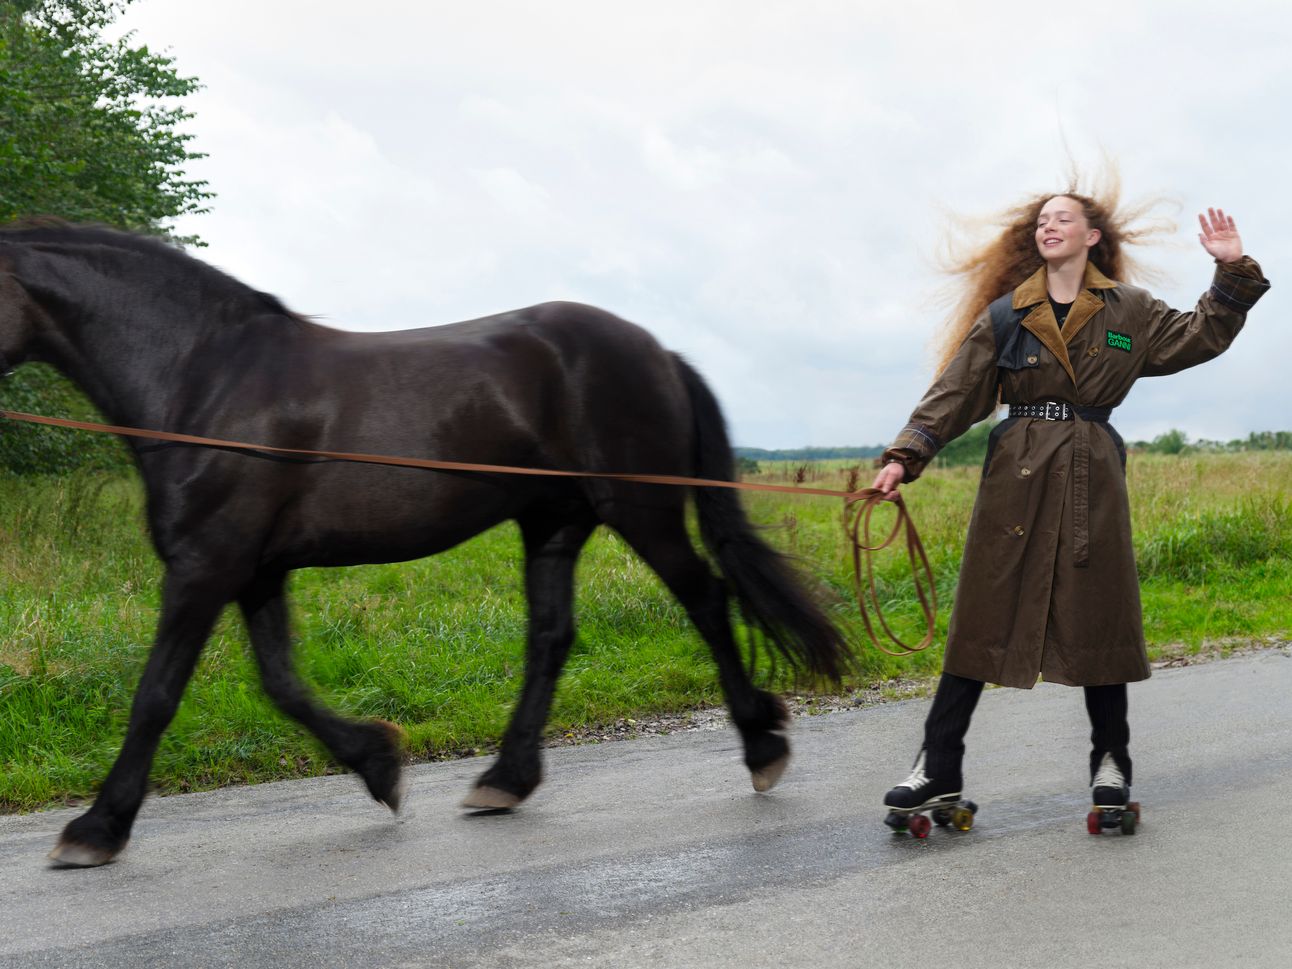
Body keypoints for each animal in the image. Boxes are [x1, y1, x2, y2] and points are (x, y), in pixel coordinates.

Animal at [0, 220, 850, 867]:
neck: (204, 379)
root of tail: (658, 351)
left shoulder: (205, 567)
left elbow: (156, 695)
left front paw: (95, 828)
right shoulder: (255, 570)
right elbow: (282, 684)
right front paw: (380, 763)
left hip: (640, 509)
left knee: (706, 600)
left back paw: (762, 746)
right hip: (553, 525)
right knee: (551, 636)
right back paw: (506, 778)